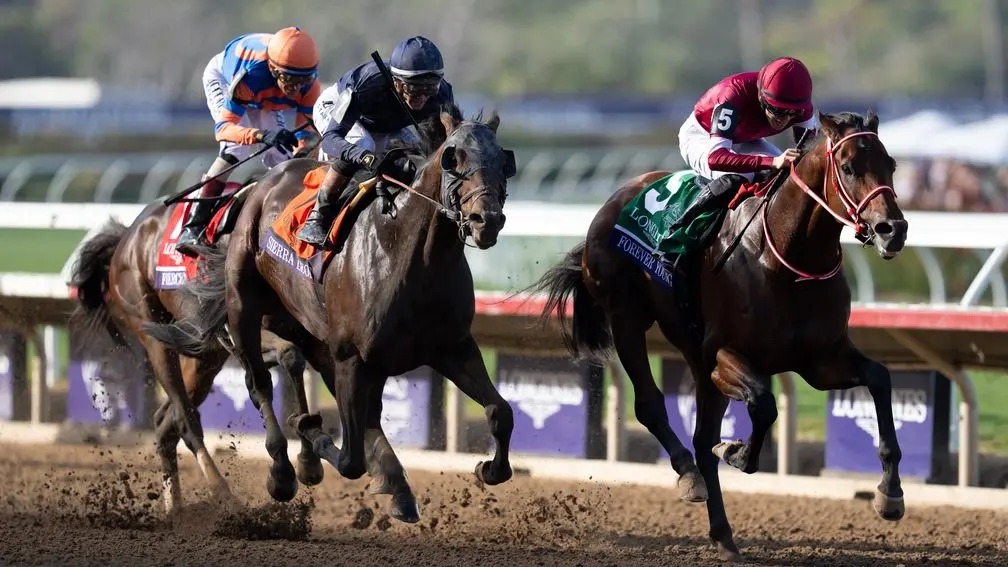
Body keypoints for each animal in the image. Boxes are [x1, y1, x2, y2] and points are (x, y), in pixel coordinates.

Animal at [69, 184, 330, 514]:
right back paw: (223, 494)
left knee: (164, 422)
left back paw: (176, 509)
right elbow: (288, 355)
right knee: (185, 419)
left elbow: (298, 360)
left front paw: (310, 460)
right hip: (151, 330)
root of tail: (126, 238)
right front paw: (289, 471)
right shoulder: (241, 324)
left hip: (203, 359)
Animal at [144, 102, 518, 523]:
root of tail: (260, 184)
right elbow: (350, 459)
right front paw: (309, 437)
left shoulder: (452, 347)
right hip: (244, 308)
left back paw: (395, 489)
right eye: (454, 158)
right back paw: (284, 471)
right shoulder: (351, 358)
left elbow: (500, 410)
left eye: (503, 161)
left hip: (307, 329)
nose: (487, 220)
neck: (411, 256)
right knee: (259, 383)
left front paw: (489, 468)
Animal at [531, 111, 908, 561]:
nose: (892, 230)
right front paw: (738, 452)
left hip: (694, 356)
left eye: (891, 164)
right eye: (848, 167)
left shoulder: (822, 360)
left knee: (700, 438)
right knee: (652, 407)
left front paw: (890, 494)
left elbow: (880, 379)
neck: (785, 257)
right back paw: (689, 476)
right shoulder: (724, 354)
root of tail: (613, 200)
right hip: (627, 320)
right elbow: (763, 404)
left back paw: (723, 534)